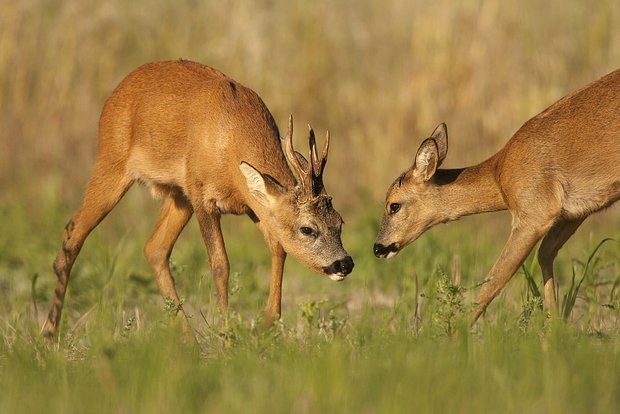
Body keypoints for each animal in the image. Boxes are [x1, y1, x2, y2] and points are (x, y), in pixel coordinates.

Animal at [41, 59, 354, 336]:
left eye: (340, 223)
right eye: (308, 228)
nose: (345, 263)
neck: (231, 140)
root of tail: (115, 94)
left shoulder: (251, 205)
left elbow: (278, 247)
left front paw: (266, 324)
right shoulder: (204, 197)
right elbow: (220, 264)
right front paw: (227, 335)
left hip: (178, 195)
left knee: (154, 249)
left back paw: (188, 339)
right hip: (112, 162)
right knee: (73, 234)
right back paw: (48, 333)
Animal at [372, 68, 620, 322]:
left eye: (393, 205)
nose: (378, 248)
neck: (499, 175)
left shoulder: (534, 214)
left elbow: (493, 281)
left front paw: (456, 330)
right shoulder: (573, 214)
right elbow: (545, 254)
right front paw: (555, 325)